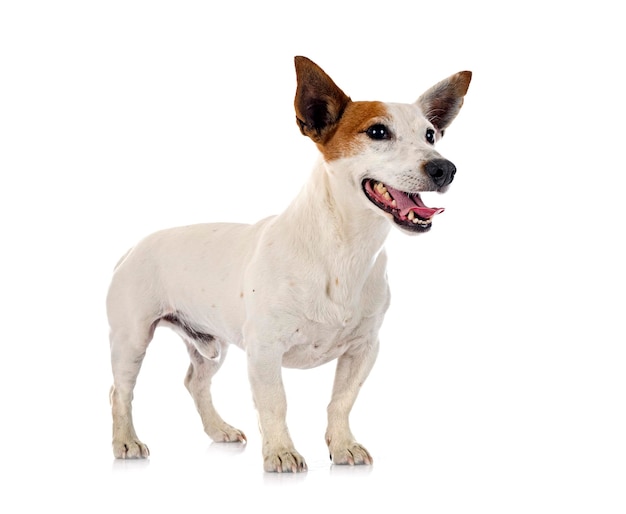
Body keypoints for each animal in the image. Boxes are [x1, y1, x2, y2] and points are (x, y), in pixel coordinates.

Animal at [106, 55, 468, 468]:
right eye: (378, 132)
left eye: (431, 135)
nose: (445, 169)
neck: (346, 250)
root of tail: (133, 248)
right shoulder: (264, 350)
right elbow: (274, 404)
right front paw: (280, 452)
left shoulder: (364, 349)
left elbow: (342, 401)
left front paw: (343, 445)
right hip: (132, 339)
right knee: (120, 392)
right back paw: (126, 442)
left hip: (211, 342)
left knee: (195, 381)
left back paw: (219, 430)